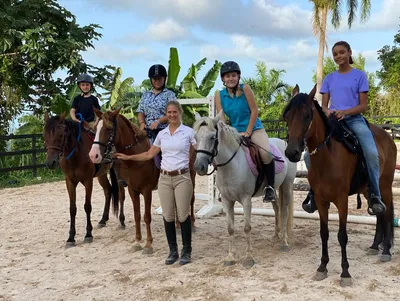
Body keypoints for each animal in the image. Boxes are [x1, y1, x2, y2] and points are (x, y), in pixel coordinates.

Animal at [43, 112, 121, 246]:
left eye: (61, 135)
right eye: (45, 135)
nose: (50, 163)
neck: (76, 154)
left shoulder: (88, 181)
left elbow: (87, 206)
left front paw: (88, 234)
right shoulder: (69, 182)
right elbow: (72, 208)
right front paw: (71, 237)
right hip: (101, 175)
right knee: (108, 190)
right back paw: (103, 220)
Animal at [192, 111, 298, 266]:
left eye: (212, 137)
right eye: (195, 138)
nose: (199, 167)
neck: (231, 166)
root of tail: (282, 142)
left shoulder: (246, 199)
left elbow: (247, 227)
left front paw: (249, 257)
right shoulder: (227, 201)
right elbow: (230, 228)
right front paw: (230, 257)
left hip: (287, 185)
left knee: (284, 211)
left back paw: (284, 242)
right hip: (274, 189)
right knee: (276, 207)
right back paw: (275, 235)